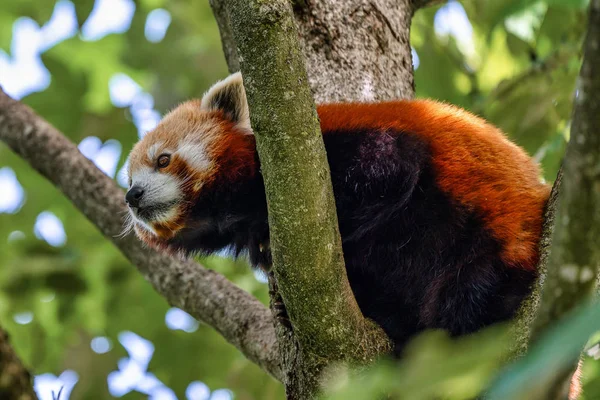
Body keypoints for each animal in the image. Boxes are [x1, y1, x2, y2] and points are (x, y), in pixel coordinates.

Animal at [124, 72, 552, 354]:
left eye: (163, 160)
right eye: (129, 176)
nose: (131, 195)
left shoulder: (337, 145)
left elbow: (391, 168)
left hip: (489, 238)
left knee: (469, 297)